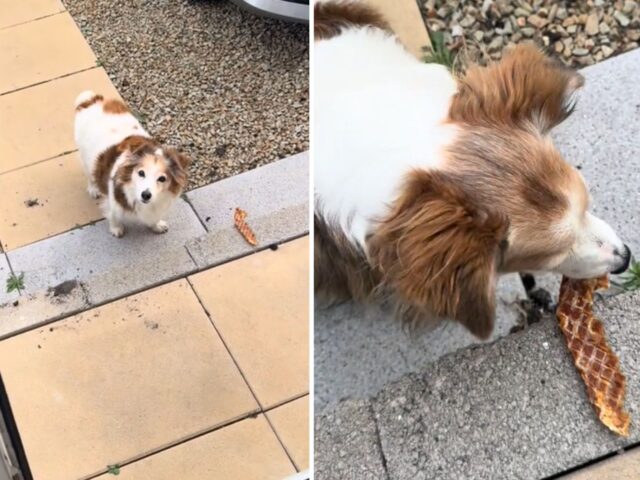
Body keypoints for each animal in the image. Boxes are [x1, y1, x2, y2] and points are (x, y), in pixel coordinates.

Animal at [74, 91, 189, 237]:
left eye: (162, 179)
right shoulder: (114, 204)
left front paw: (156, 225)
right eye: (141, 173)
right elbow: (114, 216)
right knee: (90, 174)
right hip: (85, 156)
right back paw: (94, 189)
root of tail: (93, 100)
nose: (146, 195)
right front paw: (116, 229)